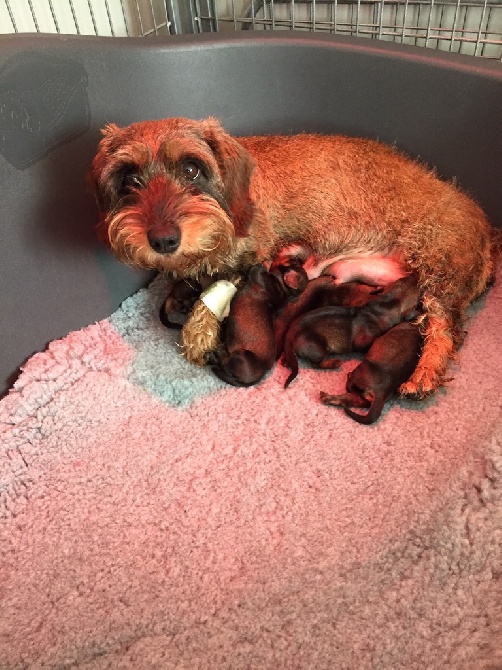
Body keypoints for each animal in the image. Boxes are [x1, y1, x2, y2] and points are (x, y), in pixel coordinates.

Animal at [282, 274, 420, 388]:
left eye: (401, 278)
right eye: (418, 295)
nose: (416, 274)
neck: (385, 305)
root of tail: (289, 335)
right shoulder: (363, 342)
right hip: (318, 347)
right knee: (316, 364)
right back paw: (334, 363)